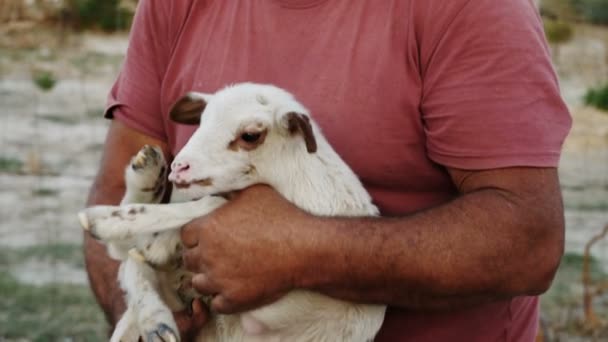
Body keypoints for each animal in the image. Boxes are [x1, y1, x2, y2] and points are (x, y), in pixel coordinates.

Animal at [78, 83, 388, 342]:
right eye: (201, 121)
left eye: (250, 135)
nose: (179, 167)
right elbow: (137, 256)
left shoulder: (278, 305)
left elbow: (209, 206)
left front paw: (108, 222)